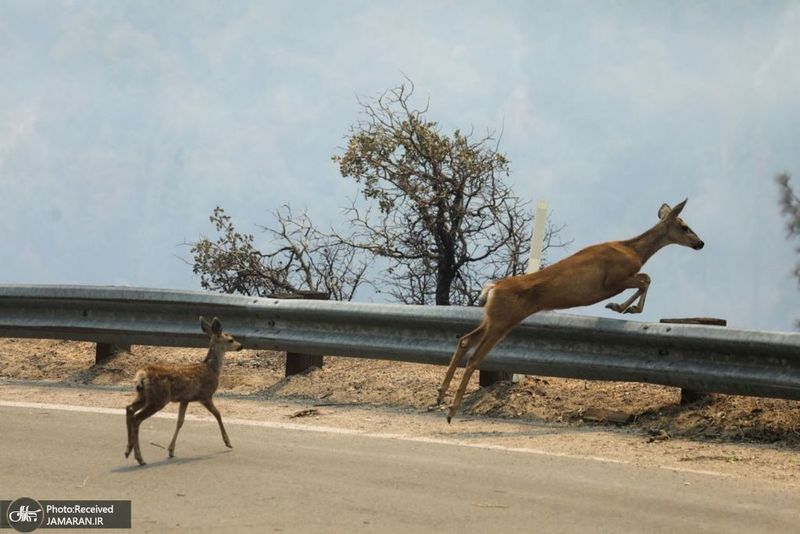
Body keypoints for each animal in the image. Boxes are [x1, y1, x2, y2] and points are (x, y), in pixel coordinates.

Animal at [125, 318, 242, 464]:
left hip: (144, 396)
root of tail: (142, 375)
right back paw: (139, 458)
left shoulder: (185, 399)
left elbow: (180, 422)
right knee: (136, 418)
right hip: (158, 399)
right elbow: (218, 414)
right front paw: (228, 442)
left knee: (129, 408)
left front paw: (171, 450)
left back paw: (128, 449)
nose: (241, 346)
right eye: (231, 339)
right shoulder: (205, 395)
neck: (212, 369)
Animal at [438, 199, 708, 426]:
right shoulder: (613, 280)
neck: (634, 251)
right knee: (474, 357)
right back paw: (451, 411)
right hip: (502, 322)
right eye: (684, 226)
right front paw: (623, 308)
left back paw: (440, 396)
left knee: (464, 340)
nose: (701, 243)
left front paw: (623, 307)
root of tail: (492, 289)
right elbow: (646, 279)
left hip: (492, 318)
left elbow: (645, 278)